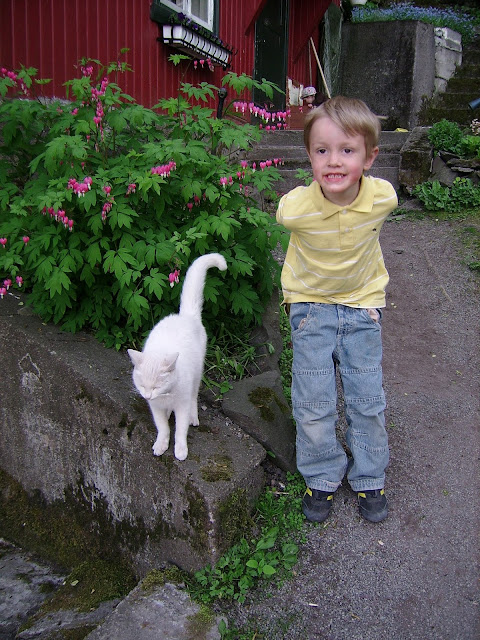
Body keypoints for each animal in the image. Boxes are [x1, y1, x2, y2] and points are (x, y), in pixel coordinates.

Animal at [128, 253, 227, 460]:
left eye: (156, 386)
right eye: (142, 386)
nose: (147, 396)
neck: (166, 395)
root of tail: (185, 315)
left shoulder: (181, 404)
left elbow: (180, 429)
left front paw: (180, 449)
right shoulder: (155, 407)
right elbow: (163, 427)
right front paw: (161, 443)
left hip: (197, 374)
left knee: (194, 397)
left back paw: (193, 417)